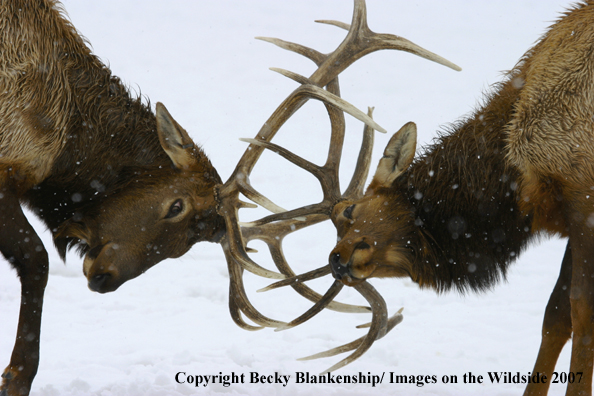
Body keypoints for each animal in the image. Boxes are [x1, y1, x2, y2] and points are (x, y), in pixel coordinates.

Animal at [316, 2, 594, 396]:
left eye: (349, 209)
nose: (337, 259)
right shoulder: (571, 217)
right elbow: (555, 315)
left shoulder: (583, 198)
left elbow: (582, 316)